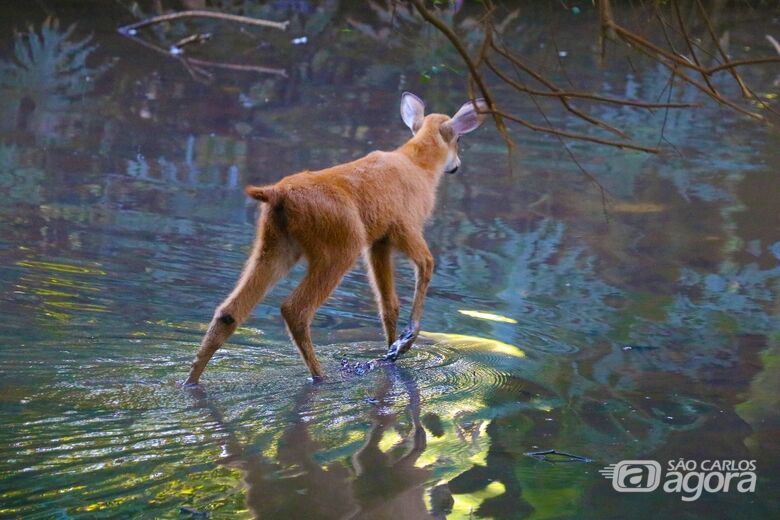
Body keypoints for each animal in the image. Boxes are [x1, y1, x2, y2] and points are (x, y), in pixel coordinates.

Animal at [184, 92, 488, 386]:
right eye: (459, 139)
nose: (456, 165)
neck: (420, 166)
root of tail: (276, 194)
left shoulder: (378, 241)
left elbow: (388, 305)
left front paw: (391, 351)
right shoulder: (405, 225)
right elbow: (427, 264)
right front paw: (404, 342)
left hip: (275, 245)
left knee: (228, 312)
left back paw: (191, 380)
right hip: (341, 244)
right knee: (295, 309)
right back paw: (321, 376)